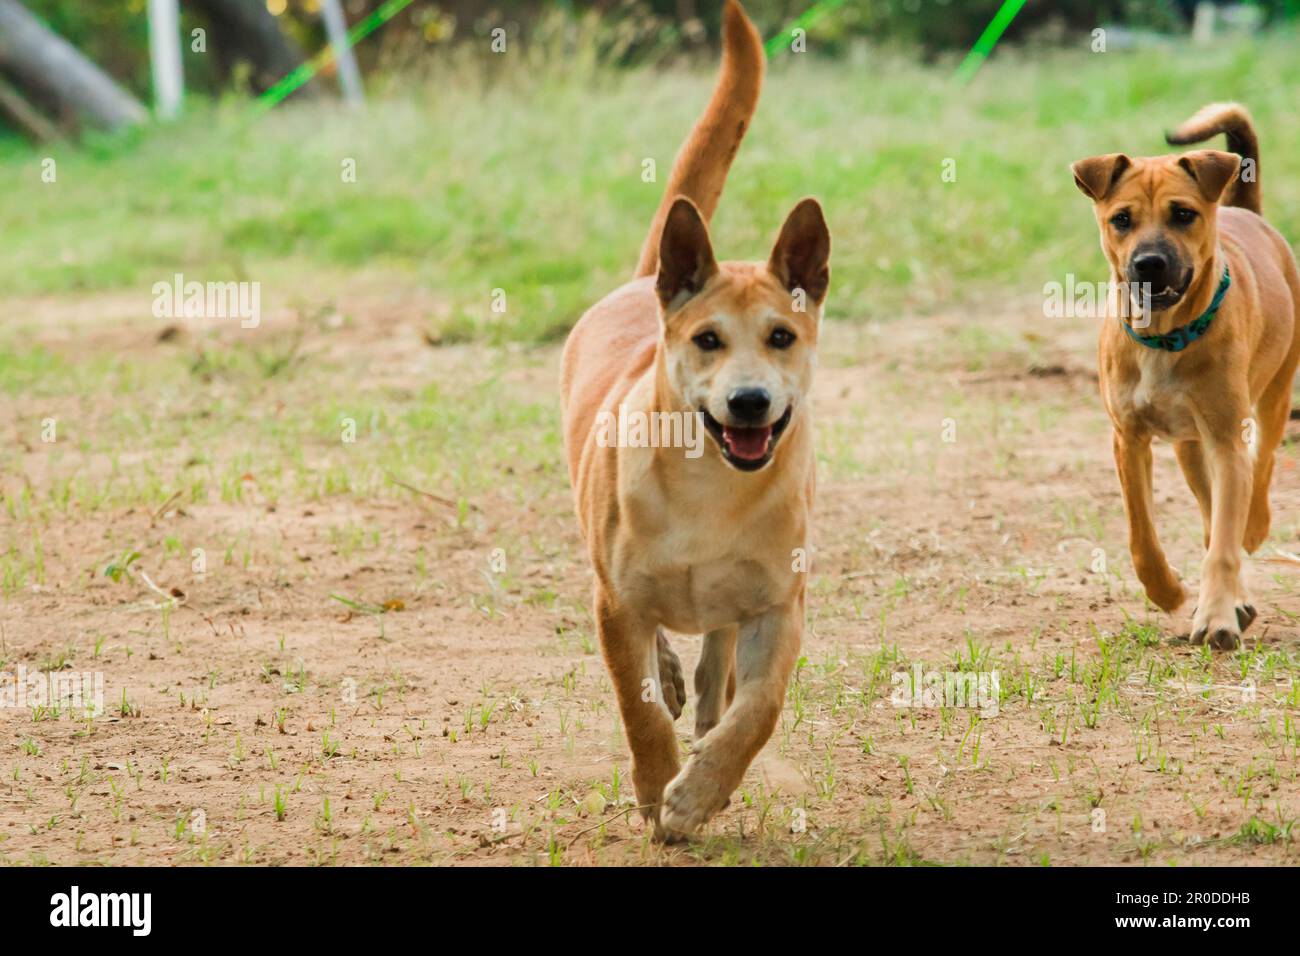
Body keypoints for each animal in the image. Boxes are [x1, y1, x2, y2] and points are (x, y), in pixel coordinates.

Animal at [561, 0, 832, 837]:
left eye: (782, 336)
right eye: (708, 339)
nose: (749, 401)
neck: (712, 483)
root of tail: (651, 277)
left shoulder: (780, 604)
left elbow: (760, 707)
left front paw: (700, 790)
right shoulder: (616, 602)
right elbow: (639, 706)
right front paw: (658, 789)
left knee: (719, 665)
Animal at [1076, 106, 1300, 650]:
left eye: (1182, 214)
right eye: (1121, 219)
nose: (1149, 263)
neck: (1165, 337)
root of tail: (1247, 213)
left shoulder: (1226, 439)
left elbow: (1224, 539)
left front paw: (1216, 618)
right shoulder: (1128, 438)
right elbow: (1142, 534)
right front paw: (1170, 592)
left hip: (1273, 395)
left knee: (1257, 476)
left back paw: (1251, 534)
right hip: (1189, 447)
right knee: (1207, 509)